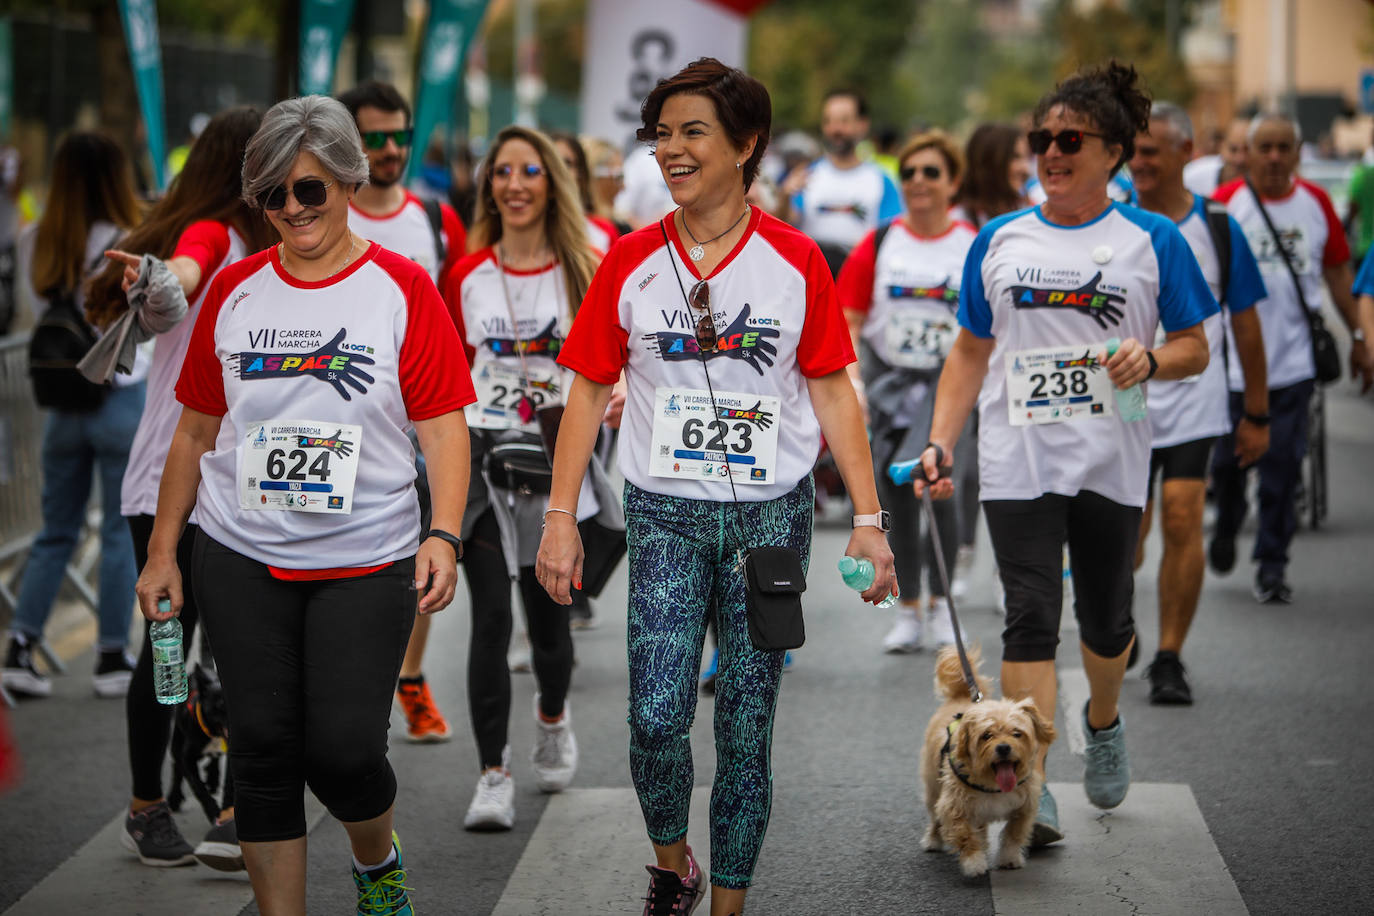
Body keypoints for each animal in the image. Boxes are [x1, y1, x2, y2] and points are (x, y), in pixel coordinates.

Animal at [928, 642, 1055, 878]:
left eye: (1017, 733)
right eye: (986, 735)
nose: (1003, 748)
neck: (993, 784)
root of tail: (961, 698)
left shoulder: (1024, 807)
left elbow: (1014, 834)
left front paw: (1009, 857)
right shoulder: (953, 807)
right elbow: (964, 835)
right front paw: (974, 861)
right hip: (932, 787)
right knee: (934, 817)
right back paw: (932, 840)